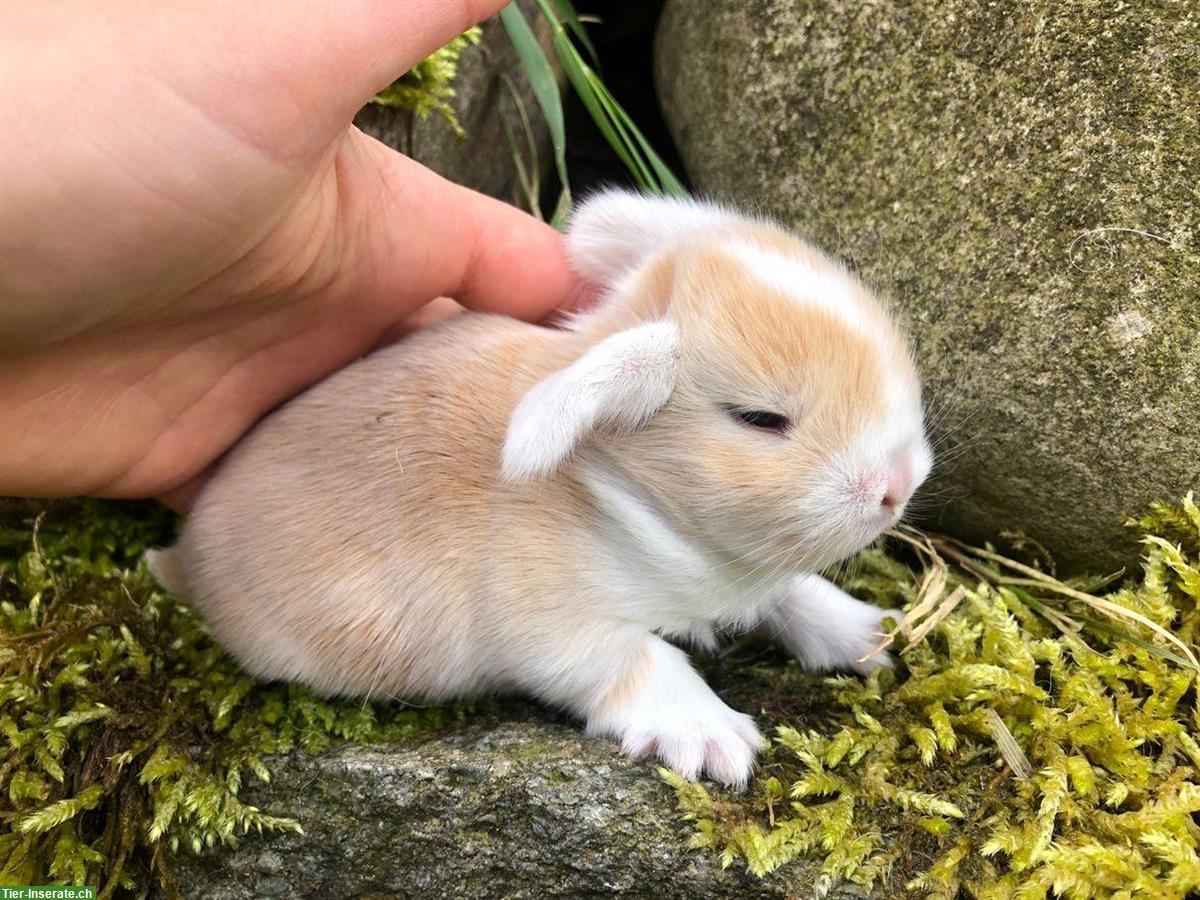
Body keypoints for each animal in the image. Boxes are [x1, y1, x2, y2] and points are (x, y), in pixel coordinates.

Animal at [150, 190, 931, 787]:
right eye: (760, 419)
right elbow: (645, 658)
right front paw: (712, 739)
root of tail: (186, 554)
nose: (899, 484)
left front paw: (871, 633)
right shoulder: (556, 629)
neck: (623, 494)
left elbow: (794, 594)